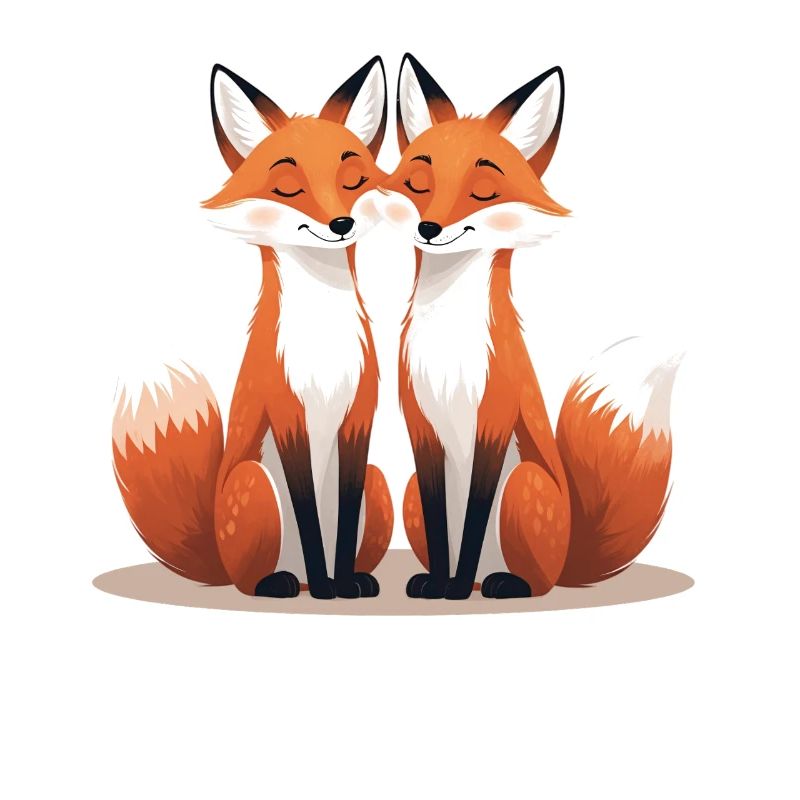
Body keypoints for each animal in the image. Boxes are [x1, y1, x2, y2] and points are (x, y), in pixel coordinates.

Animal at [112, 57, 394, 599]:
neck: (322, 343)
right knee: (251, 578)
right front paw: (326, 586)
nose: (341, 224)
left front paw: (342, 582)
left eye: (353, 178)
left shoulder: (358, 417)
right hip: (253, 482)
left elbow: (342, 518)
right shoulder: (285, 415)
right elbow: (308, 517)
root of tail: (216, 558)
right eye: (287, 186)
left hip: (379, 484)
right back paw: (285, 583)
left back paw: (351, 579)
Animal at [373, 54, 682, 599]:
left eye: (482, 190)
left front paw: (456, 586)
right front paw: (441, 583)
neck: (449, 346)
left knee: (534, 580)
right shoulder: (421, 429)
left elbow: (474, 520)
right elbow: (443, 522)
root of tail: (570, 557)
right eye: (418, 184)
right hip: (408, 488)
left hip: (526, 484)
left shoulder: (495, 420)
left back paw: (497, 583)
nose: (429, 229)